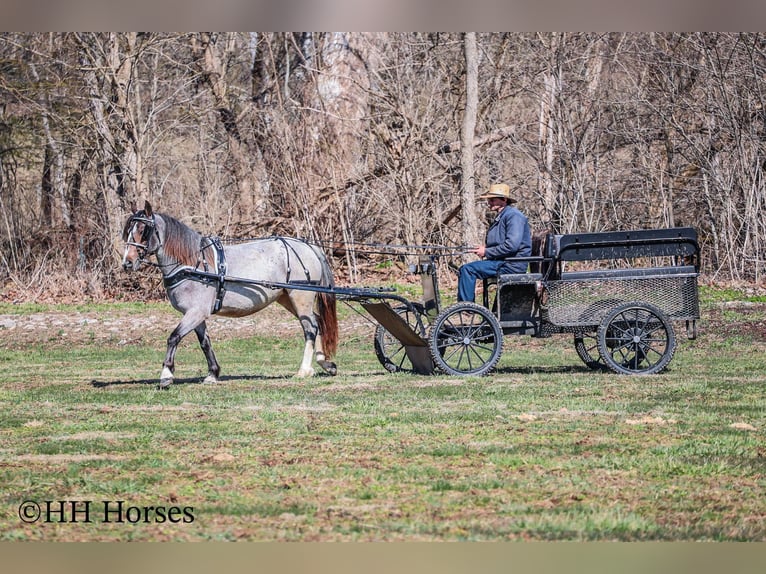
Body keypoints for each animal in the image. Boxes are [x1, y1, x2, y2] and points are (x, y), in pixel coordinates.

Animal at [121, 202, 338, 392]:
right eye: (129, 230)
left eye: (144, 229)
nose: (127, 262)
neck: (193, 264)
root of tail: (309, 246)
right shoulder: (196, 315)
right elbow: (205, 343)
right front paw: (212, 374)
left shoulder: (196, 312)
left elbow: (174, 337)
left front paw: (166, 375)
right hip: (287, 298)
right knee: (317, 321)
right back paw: (325, 363)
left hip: (301, 297)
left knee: (310, 328)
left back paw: (304, 370)